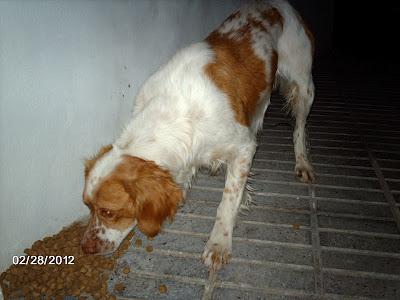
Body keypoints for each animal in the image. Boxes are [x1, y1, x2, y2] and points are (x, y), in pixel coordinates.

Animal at [81, 0, 314, 272]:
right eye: (87, 207)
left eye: (108, 212)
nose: (84, 248)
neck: (176, 113)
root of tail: (280, 5)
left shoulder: (244, 146)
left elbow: (226, 202)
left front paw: (219, 243)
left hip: (303, 87)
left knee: (299, 127)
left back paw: (302, 162)